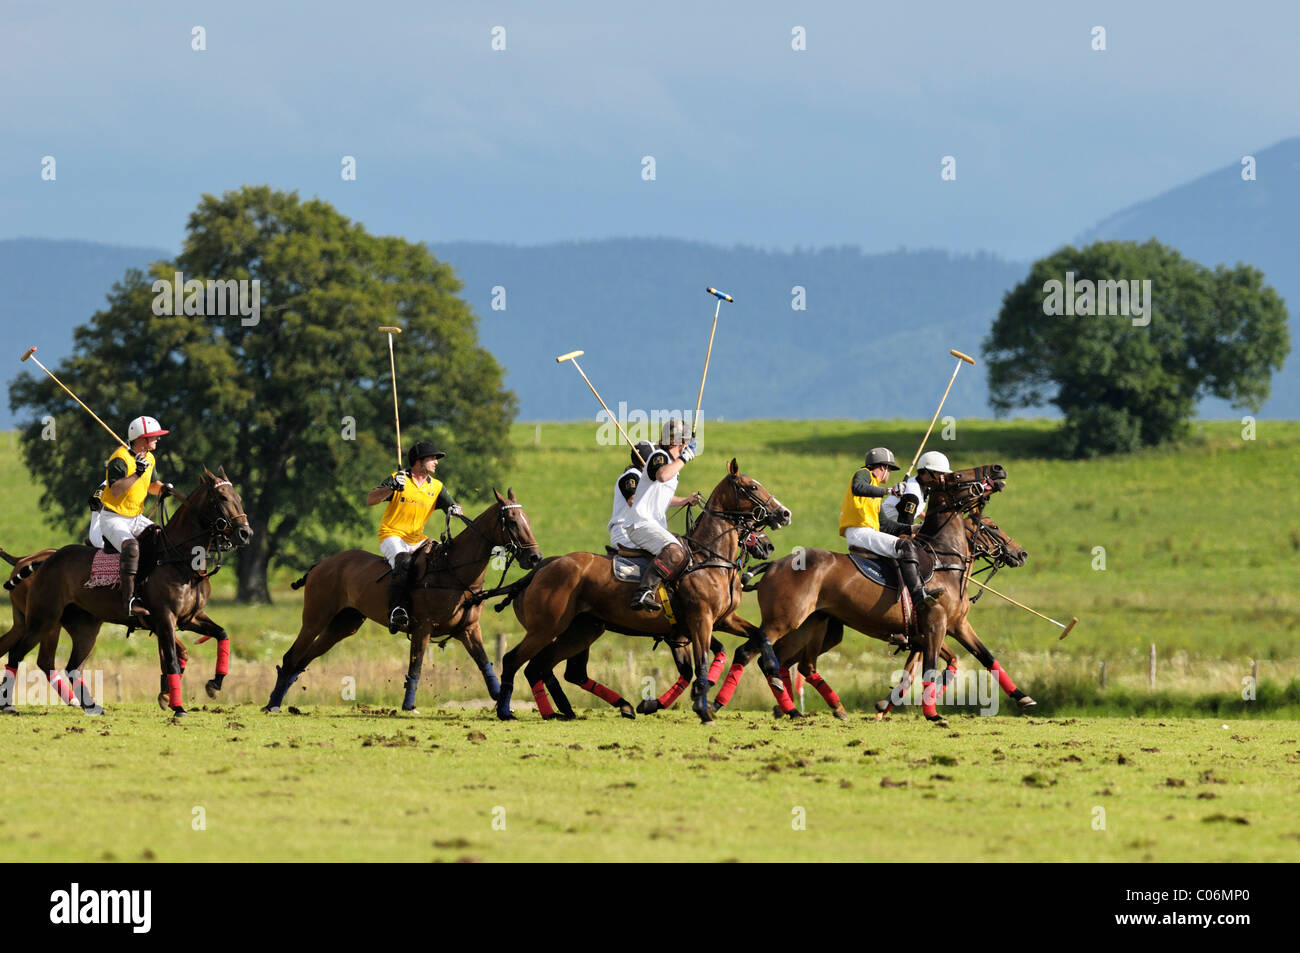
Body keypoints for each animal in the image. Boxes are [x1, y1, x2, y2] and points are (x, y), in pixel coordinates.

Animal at [0, 468, 250, 712]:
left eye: (238, 497)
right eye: (222, 497)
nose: (245, 533)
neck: (180, 559)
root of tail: (43, 560)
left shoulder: (190, 617)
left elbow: (221, 634)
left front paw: (214, 684)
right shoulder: (165, 618)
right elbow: (171, 658)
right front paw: (177, 705)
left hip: (83, 626)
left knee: (71, 665)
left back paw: (90, 705)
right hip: (44, 619)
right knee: (18, 654)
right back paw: (9, 704)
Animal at [266, 494, 540, 712]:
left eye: (528, 518)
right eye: (512, 521)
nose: (535, 557)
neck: (454, 573)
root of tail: (319, 565)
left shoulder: (468, 628)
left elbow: (484, 663)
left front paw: (501, 698)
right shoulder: (423, 627)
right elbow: (416, 666)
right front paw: (409, 706)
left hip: (344, 624)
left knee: (304, 658)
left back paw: (277, 700)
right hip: (316, 617)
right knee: (292, 655)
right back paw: (272, 704)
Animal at [491, 460, 785, 722]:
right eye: (752, 487)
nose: (784, 514)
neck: (709, 558)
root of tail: (543, 567)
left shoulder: (719, 620)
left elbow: (757, 635)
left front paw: (774, 672)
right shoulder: (700, 621)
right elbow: (701, 663)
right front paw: (703, 707)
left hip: (581, 630)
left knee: (549, 668)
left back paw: (579, 710)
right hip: (546, 627)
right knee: (515, 660)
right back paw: (509, 711)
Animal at [738, 465, 1008, 722]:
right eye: (957, 476)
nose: (998, 470)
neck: (943, 560)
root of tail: (774, 564)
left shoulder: (953, 626)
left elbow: (982, 658)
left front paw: (1018, 696)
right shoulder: (935, 625)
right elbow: (927, 669)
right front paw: (929, 713)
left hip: (808, 625)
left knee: (788, 661)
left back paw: (807, 708)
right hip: (782, 621)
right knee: (754, 655)